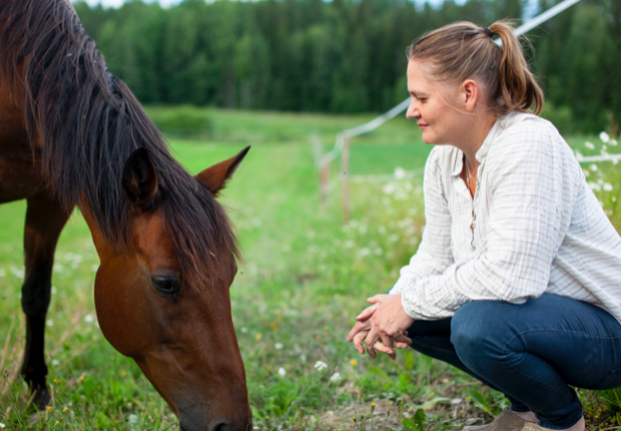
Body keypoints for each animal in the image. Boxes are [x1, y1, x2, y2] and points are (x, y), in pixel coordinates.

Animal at [0, 0, 252, 429]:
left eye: (230, 274)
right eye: (165, 283)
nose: (234, 425)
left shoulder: (51, 196)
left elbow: (36, 294)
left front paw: (37, 393)